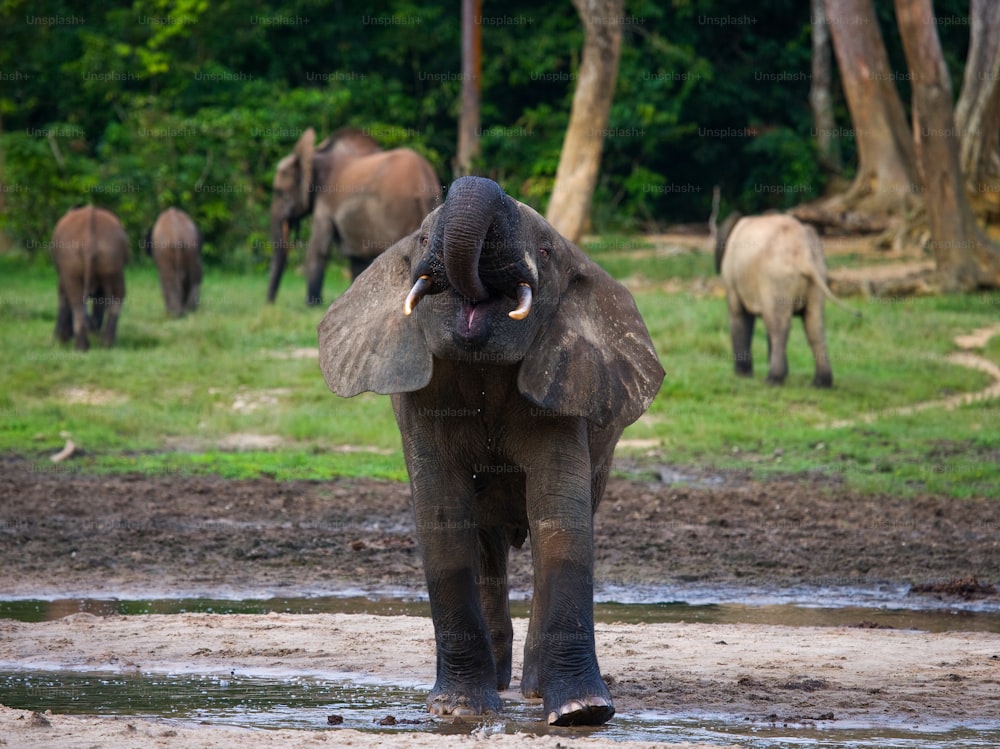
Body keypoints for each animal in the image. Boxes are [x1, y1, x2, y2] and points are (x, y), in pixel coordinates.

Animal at [51, 202, 129, 348]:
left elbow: (63, 295)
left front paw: (61, 340)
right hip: (112, 257)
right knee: (116, 294)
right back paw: (106, 343)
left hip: (71, 260)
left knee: (75, 299)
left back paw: (81, 346)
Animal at [268, 127, 440, 306]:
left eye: (279, 192)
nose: (270, 303)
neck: (316, 156)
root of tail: (424, 183)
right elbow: (357, 258)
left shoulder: (325, 202)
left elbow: (319, 248)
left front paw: (311, 305)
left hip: (398, 211)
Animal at [318, 175, 664, 724]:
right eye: (421, 239)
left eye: (545, 251)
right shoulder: (423, 397)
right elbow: (442, 517)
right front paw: (459, 711)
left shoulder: (564, 381)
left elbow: (560, 518)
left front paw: (581, 713)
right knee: (485, 544)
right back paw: (497, 687)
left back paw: (532, 690)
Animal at [716, 210, 856, 386]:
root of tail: (803, 252)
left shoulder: (732, 278)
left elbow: (739, 314)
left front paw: (741, 376)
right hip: (818, 273)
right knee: (814, 324)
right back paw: (820, 384)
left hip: (777, 275)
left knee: (778, 326)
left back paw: (773, 380)